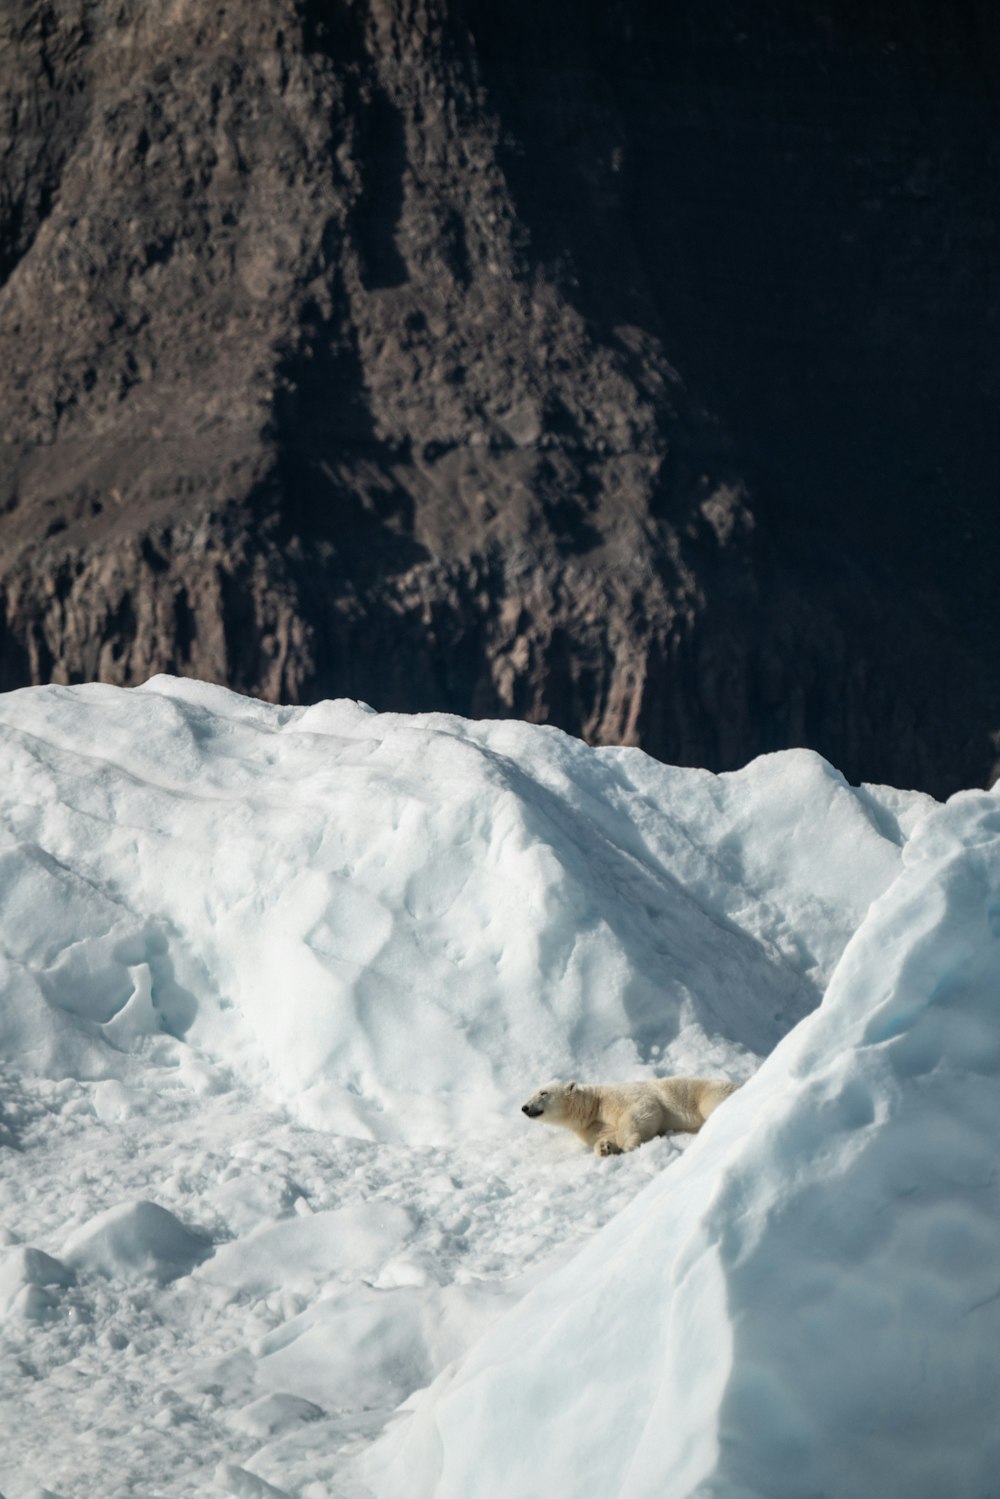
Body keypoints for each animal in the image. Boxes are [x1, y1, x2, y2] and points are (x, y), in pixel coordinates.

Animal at [521, 1079, 740, 1157]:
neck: (593, 1105)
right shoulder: (591, 1126)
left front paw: (629, 1144)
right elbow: (605, 1135)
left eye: (543, 1093)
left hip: (707, 1092)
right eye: (532, 1093)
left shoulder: (618, 1098)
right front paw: (605, 1148)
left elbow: (644, 1109)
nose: (525, 1107)